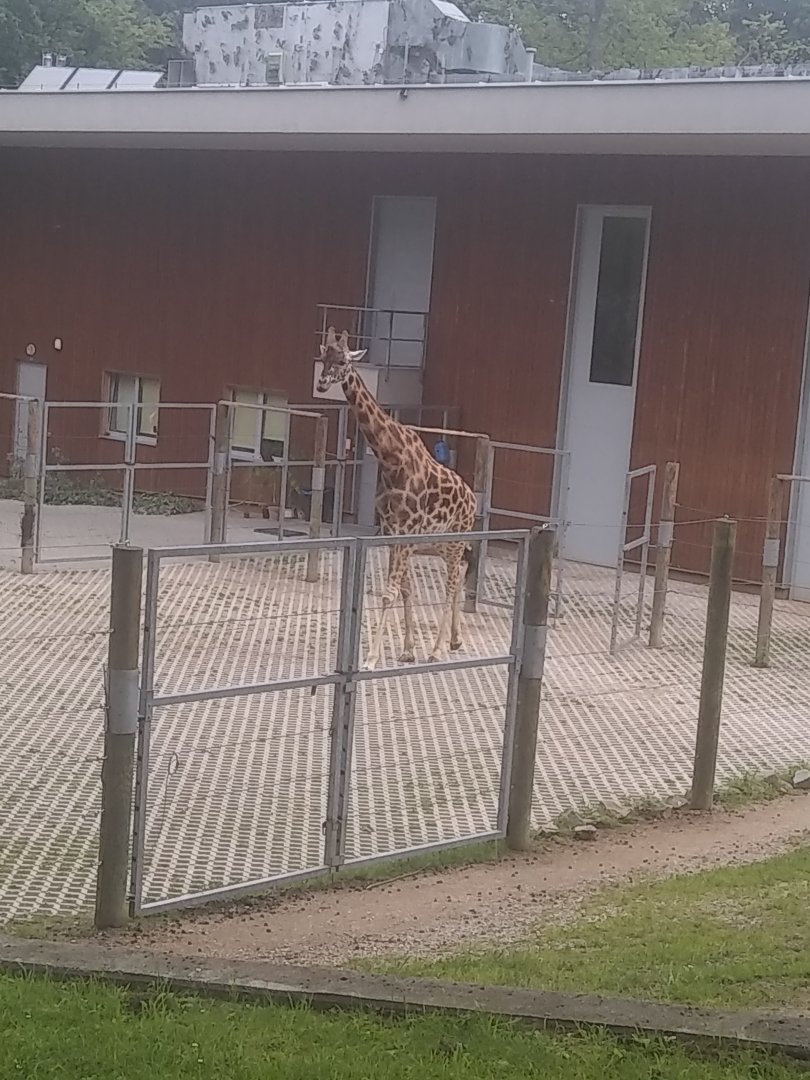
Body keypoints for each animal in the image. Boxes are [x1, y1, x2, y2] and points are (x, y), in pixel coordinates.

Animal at [316, 328, 477, 669]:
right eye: (323, 358)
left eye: (343, 361)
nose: (322, 384)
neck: (390, 458)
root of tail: (472, 498)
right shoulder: (392, 533)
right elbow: (403, 590)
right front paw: (407, 649)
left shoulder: (405, 531)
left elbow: (390, 592)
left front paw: (370, 659)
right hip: (440, 544)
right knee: (458, 574)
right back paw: (454, 640)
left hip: (456, 539)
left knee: (452, 582)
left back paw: (438, 650)